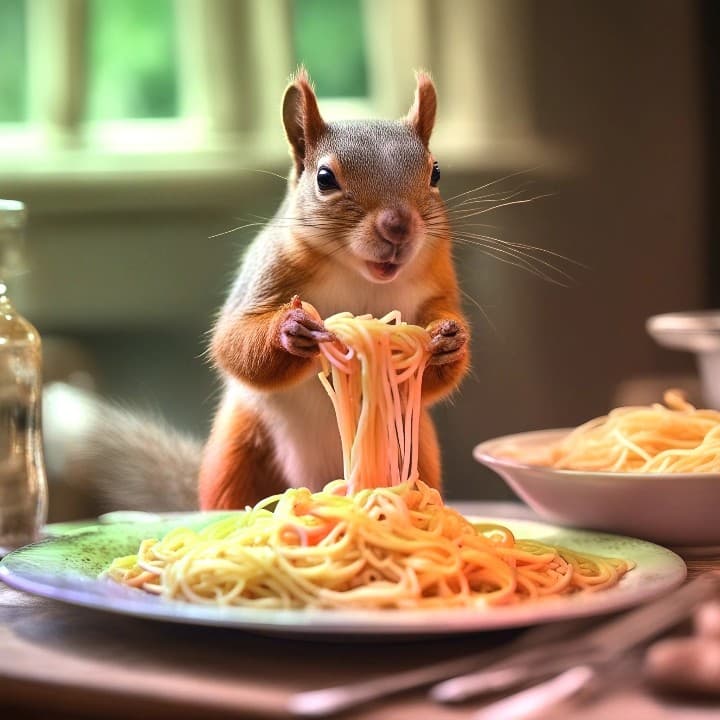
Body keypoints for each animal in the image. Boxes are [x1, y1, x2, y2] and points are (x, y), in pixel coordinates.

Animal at [50, 69, 470, 513]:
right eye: (325, 179)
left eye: (435, 172)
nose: (398, 227)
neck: (360, 275)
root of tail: (319, 482)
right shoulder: (265, 275)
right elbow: (232, 342)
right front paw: (291, 330)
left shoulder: (439, 284)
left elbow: (434, 367)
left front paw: (447, 340)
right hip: (240, 449)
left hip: (419, 449)